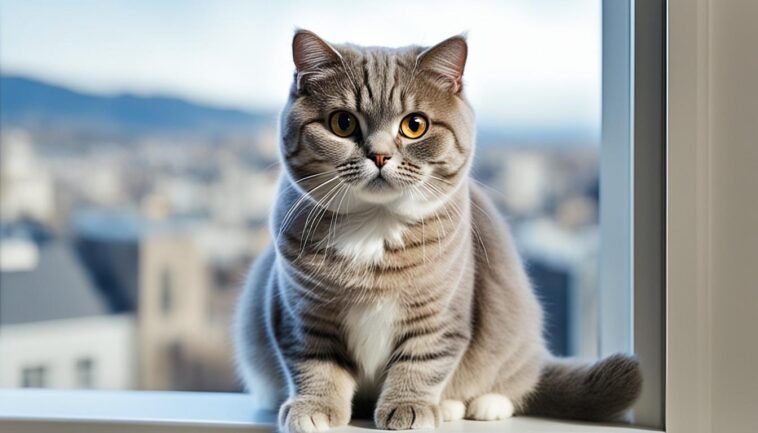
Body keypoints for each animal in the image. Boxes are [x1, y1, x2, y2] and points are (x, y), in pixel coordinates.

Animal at [235, 30, 644, 432]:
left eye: (414, 125)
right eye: (343, 123)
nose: (380, 155)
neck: (374, 226)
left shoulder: (440, 313)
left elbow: (422, 362)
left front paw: (409, 407)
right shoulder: (303, 314)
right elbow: (315, 363)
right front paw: (314, 408)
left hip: (515, 331)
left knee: (514, 379)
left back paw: (475, 404)